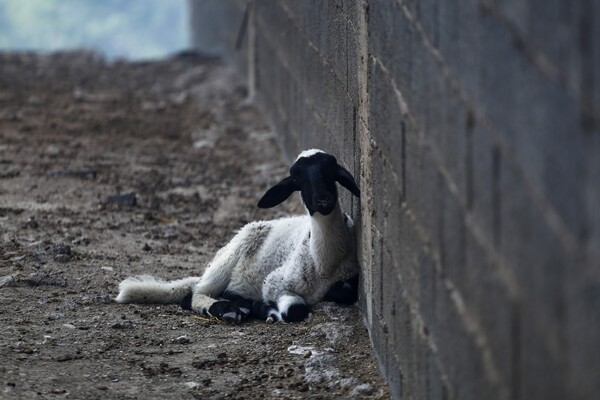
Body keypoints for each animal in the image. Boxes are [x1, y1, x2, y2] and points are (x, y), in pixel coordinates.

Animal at [116, 148, 360, 324]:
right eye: (296, 179)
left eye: (331, 170)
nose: (323, 200)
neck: (324, 263)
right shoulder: (274, 283)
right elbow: (295, 310)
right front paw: (268, 311)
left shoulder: (348, 276)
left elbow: (344, 292)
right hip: (229, 257)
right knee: (194, 294)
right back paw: (226, 310)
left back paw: (237, 304)